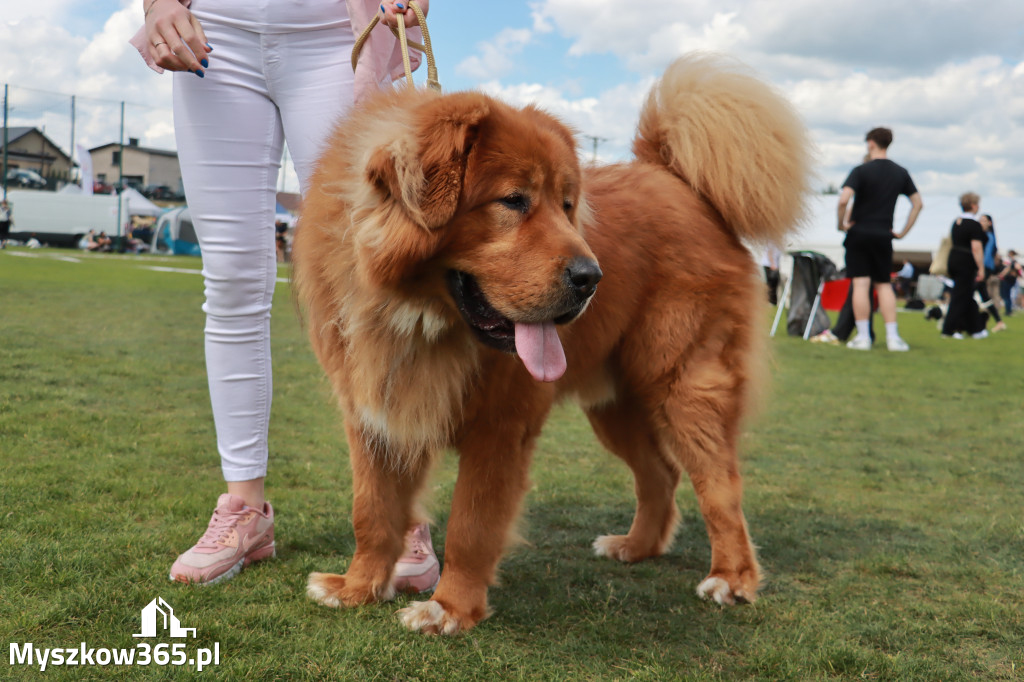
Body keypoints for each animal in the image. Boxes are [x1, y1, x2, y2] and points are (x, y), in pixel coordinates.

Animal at [292, 53, 811, 630]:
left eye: (566, 206)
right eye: (513, 200)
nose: (592, 278)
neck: (418, 316)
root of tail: (680, 184)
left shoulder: (500, 428)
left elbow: (470, 525)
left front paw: (449, 609)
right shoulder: (373, 416)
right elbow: (373, 511)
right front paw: (357, 587)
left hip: (684, 387)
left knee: (720, 486)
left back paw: (732, 578)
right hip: (615, 406)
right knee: (660, 474)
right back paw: (637, 547)